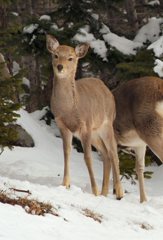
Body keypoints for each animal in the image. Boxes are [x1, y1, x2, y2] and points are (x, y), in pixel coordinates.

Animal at [46, 34, 123, 199]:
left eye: (70, 58)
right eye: (56, 55)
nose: (60, 66)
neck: (69, 108)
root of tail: (107, 89)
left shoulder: (85, 125)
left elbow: (87, 158)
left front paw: (94, 191)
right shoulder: (63, 125)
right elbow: (66, 153)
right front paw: (65, 185)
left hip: (106, 125)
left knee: (113, 153)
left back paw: (119, 193)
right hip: (94, 133)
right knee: (106, 154)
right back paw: (104, 193)